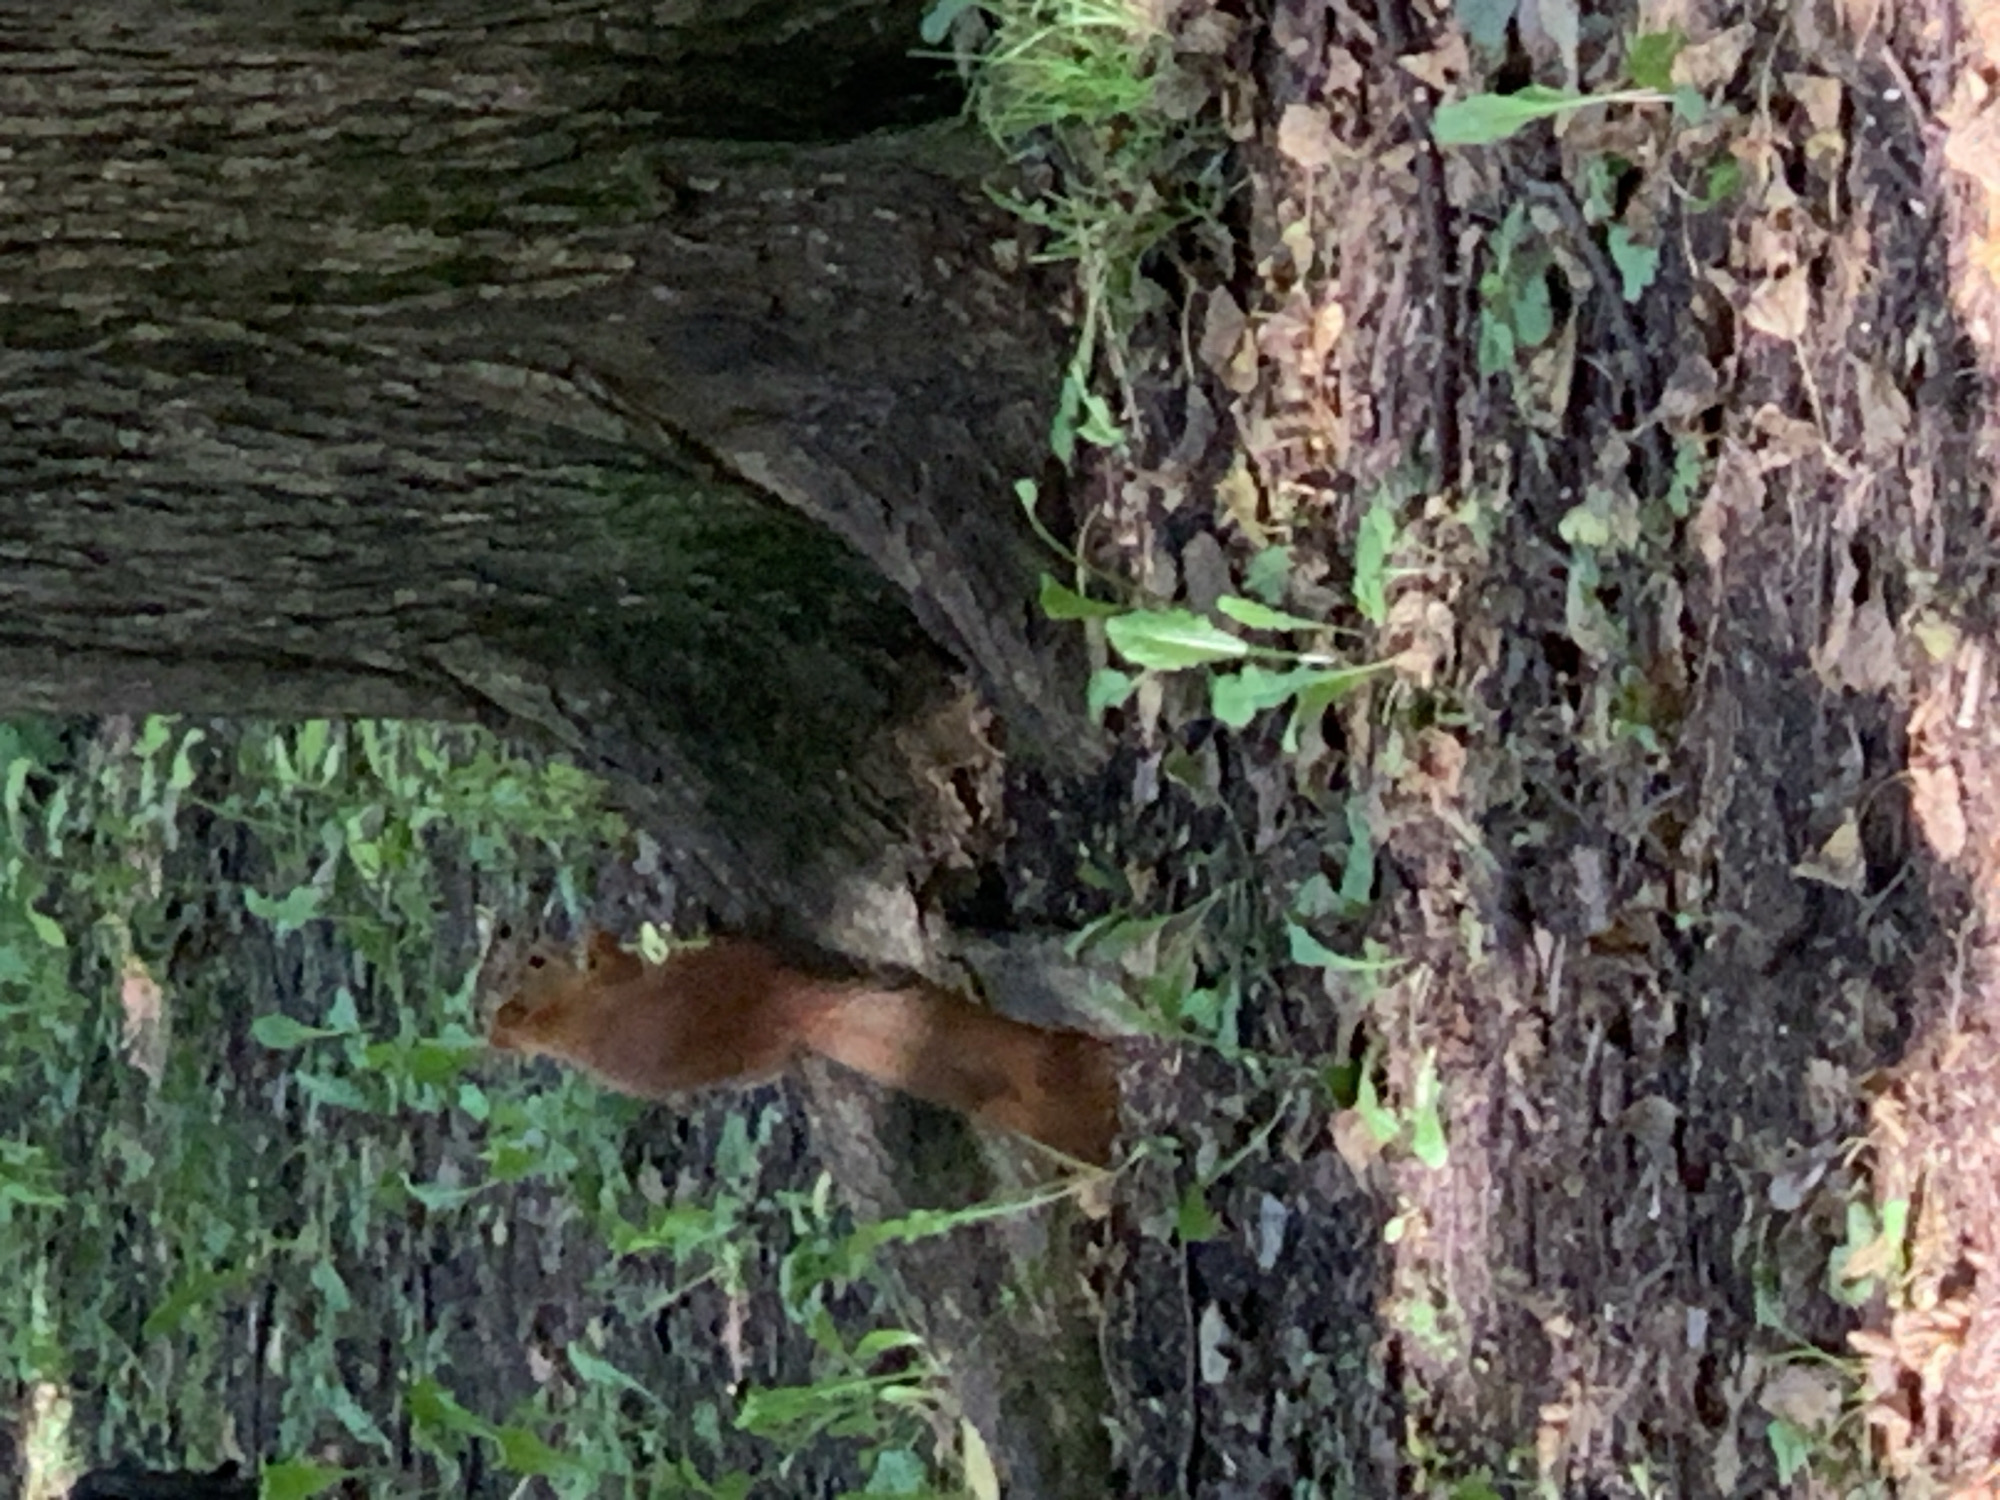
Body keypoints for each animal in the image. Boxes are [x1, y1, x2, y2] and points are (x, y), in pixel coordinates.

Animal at [487, 930, 1120, 1165]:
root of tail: (789, 1009)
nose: (544, 939)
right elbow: (614, 964)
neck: (560, 1021)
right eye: (535, 962)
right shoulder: (606, 989)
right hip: (737, 964)